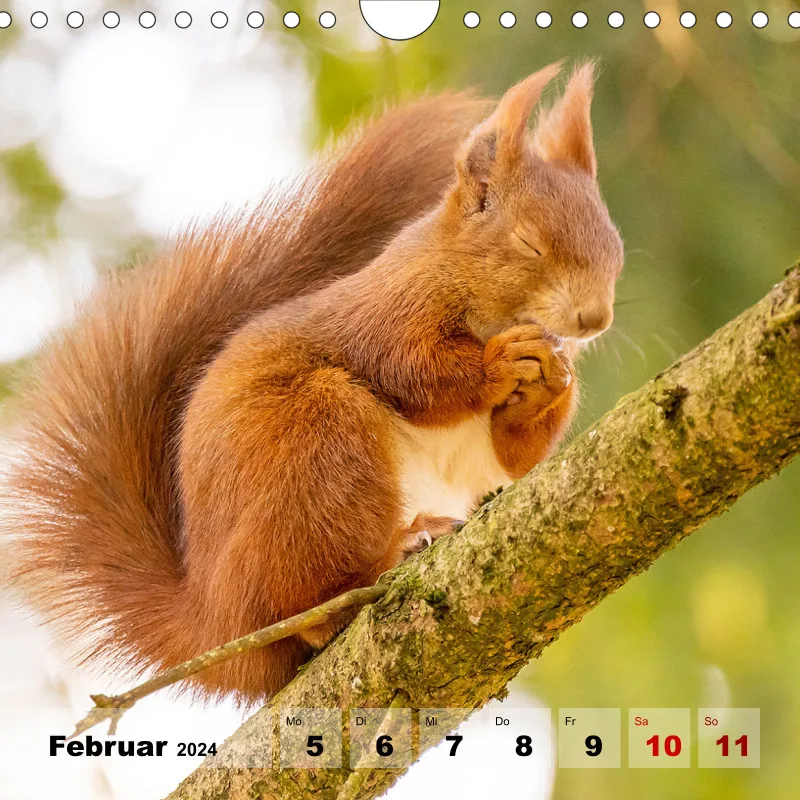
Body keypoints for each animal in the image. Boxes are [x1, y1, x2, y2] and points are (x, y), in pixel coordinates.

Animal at [3, 62, 623, 705]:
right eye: (529, 242)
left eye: (615, 245)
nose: (595, 319)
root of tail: (215, 615)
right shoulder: (388, 313)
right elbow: (417, 371)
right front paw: (503, 361)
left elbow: (512, 457)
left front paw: (552, 382)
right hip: (318, 441)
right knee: (305, 607)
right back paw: (385, 560)